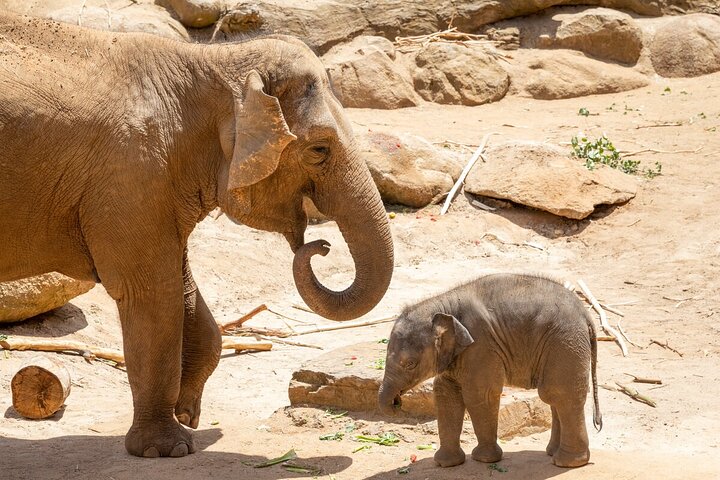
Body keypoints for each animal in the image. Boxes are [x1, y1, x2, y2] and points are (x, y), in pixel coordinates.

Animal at [0, 14, 394, 458]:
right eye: (319, 150)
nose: (319, 246)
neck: (211, 61)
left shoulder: (155, 189)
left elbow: (183, 290)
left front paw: (186, 415)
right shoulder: (131, 175)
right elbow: (153, 293)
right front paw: (167, 448)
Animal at [376, 274, 600, 468]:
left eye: (410, 364)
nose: (396, 403)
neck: (443, 305)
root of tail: (586, 314)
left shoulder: (481, 345)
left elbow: (478, 394)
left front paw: (484, 460)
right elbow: (445, 394)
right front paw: (445, 464)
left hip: (565, 342)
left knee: (558, 393)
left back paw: (567, 463)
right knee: (554, 396)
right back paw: (552, 453)